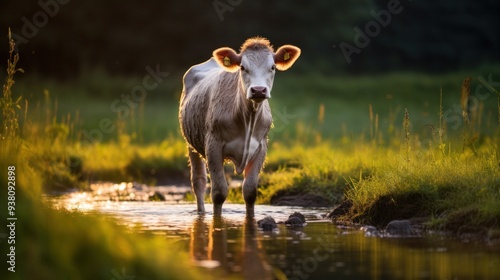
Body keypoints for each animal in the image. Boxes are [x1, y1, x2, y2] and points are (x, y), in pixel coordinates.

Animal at [178, 36, 298, 217]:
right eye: (242, 67)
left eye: (272, 67)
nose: (258, 90)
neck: (248, 118)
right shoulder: (213, 145)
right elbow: (219, 193)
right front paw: (217, 219)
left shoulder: (261, 147)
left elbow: (250, 192)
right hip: (190, 143)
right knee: (198, 181)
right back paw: (201, 213)